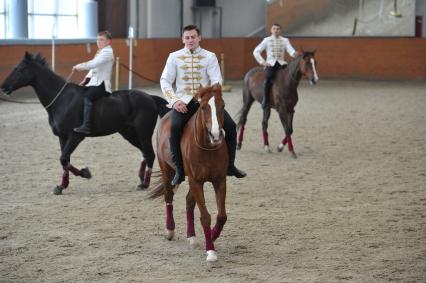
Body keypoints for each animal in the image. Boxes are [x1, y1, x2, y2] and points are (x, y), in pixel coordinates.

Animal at [150, 84, 230, 264]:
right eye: (203, 107)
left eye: (222, 106)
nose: (216, 135)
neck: (207, 148)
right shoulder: (196, 181)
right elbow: (205, 216)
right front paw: (210, 251)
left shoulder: (219, 180)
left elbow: (222, 215)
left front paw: (212, 236)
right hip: (167, 171)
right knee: (168, 197)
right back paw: (170, 230)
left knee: (188, 201)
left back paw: (192, 236)